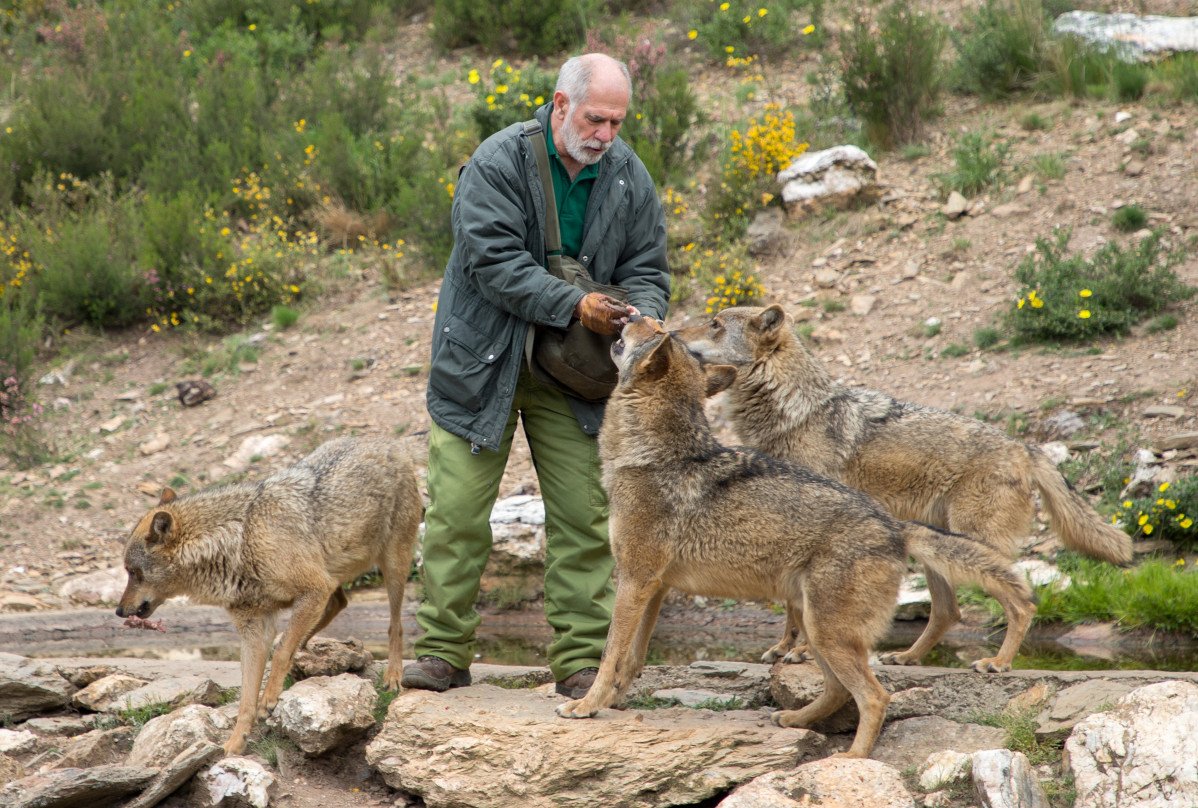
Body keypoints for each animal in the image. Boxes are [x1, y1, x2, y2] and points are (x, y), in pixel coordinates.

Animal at [113, 436, 421, 752]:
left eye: (133, 572)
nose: (119, 611)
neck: (240, 539)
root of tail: (388, 442)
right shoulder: (255, 628)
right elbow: (247, 698)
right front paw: (234, 745)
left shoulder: (313, 588)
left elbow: (282, 650)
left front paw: (269, 699)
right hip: (333, 575)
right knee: (338, 604)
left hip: (392, 566)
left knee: (395, 625)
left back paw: (393, 676)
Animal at [555, 314, 1035, 757]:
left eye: (654, 331)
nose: (636, 314)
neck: (651, 455)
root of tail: (893, 524)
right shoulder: (653, 587)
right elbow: (631, 658)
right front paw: (611, 702)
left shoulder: (634, 582)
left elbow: (609, 653)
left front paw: (586, 706)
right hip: (814, 625)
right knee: (839, 690)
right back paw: (794, 720)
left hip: (826, 633)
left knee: (875, 696)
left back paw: (852, 761)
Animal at [675, 305, 1130, 671]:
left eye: (714, 324)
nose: (674, 333)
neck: (791, 412)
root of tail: (1024, 446)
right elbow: (789, 606)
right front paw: (784, 647)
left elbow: (800, 606)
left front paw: (801, 652)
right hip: (938, 549)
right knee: (949, 612)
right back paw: (908, 656)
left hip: (973, 545)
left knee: (1018, 600)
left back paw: (998, 662)